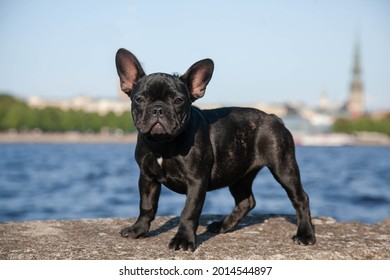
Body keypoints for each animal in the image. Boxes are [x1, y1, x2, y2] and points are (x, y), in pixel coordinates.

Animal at [114, 48, 316, 252]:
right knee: (246, 201)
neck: (163, 143)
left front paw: (183, 239)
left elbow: (189, 211)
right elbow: (146, 206)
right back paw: (223, 226)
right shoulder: (147, 177)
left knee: (300, 197)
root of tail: (274, 117)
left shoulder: (196, 181)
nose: (157, 109)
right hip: (238, 174)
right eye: (139, 99)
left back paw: (305, 234)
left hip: (283, 166)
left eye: (178, 100)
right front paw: (138, 230)